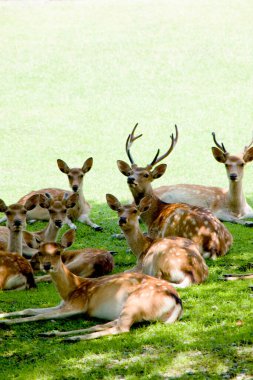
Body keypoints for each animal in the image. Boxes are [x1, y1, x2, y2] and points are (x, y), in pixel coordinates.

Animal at [0, 229, 183, 342]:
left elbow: (40, 316)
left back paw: (70, 338)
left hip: (136, 303)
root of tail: (177, 301)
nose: (46, 265)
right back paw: (52, 333)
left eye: (58, 252)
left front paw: (7, 322)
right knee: (107, 324)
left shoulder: (77, 305)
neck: (71, 289)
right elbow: (30, 309)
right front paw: (3, 315)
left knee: (121, 328)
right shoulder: (62, 304)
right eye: (39, 251)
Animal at [117, 124, 232, 258]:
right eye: (129, 172)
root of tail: (215, 246)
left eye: (146, 174)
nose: (130, 179)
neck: (152, 217)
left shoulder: (155, 232)